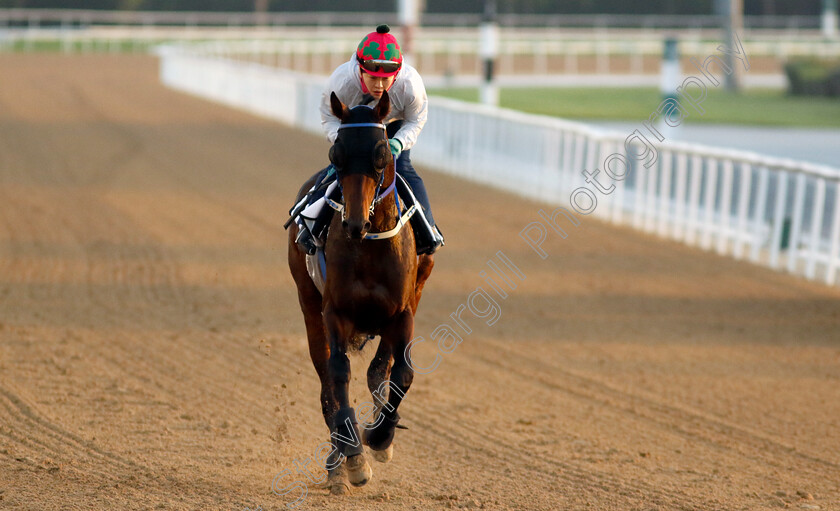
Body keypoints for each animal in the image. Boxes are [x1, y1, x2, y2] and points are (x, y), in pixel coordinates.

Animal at [288, 91, 434, 496]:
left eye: (381, 153)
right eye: (336, 154)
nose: (355, 223)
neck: (370, 245)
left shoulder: (402, 313)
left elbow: (401, 373)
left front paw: (380, 437)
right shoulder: (334, 312)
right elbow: (337, 375)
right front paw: (353, 457)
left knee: (378, 369)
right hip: (309, 307)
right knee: (326, 383)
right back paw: (337, 461)